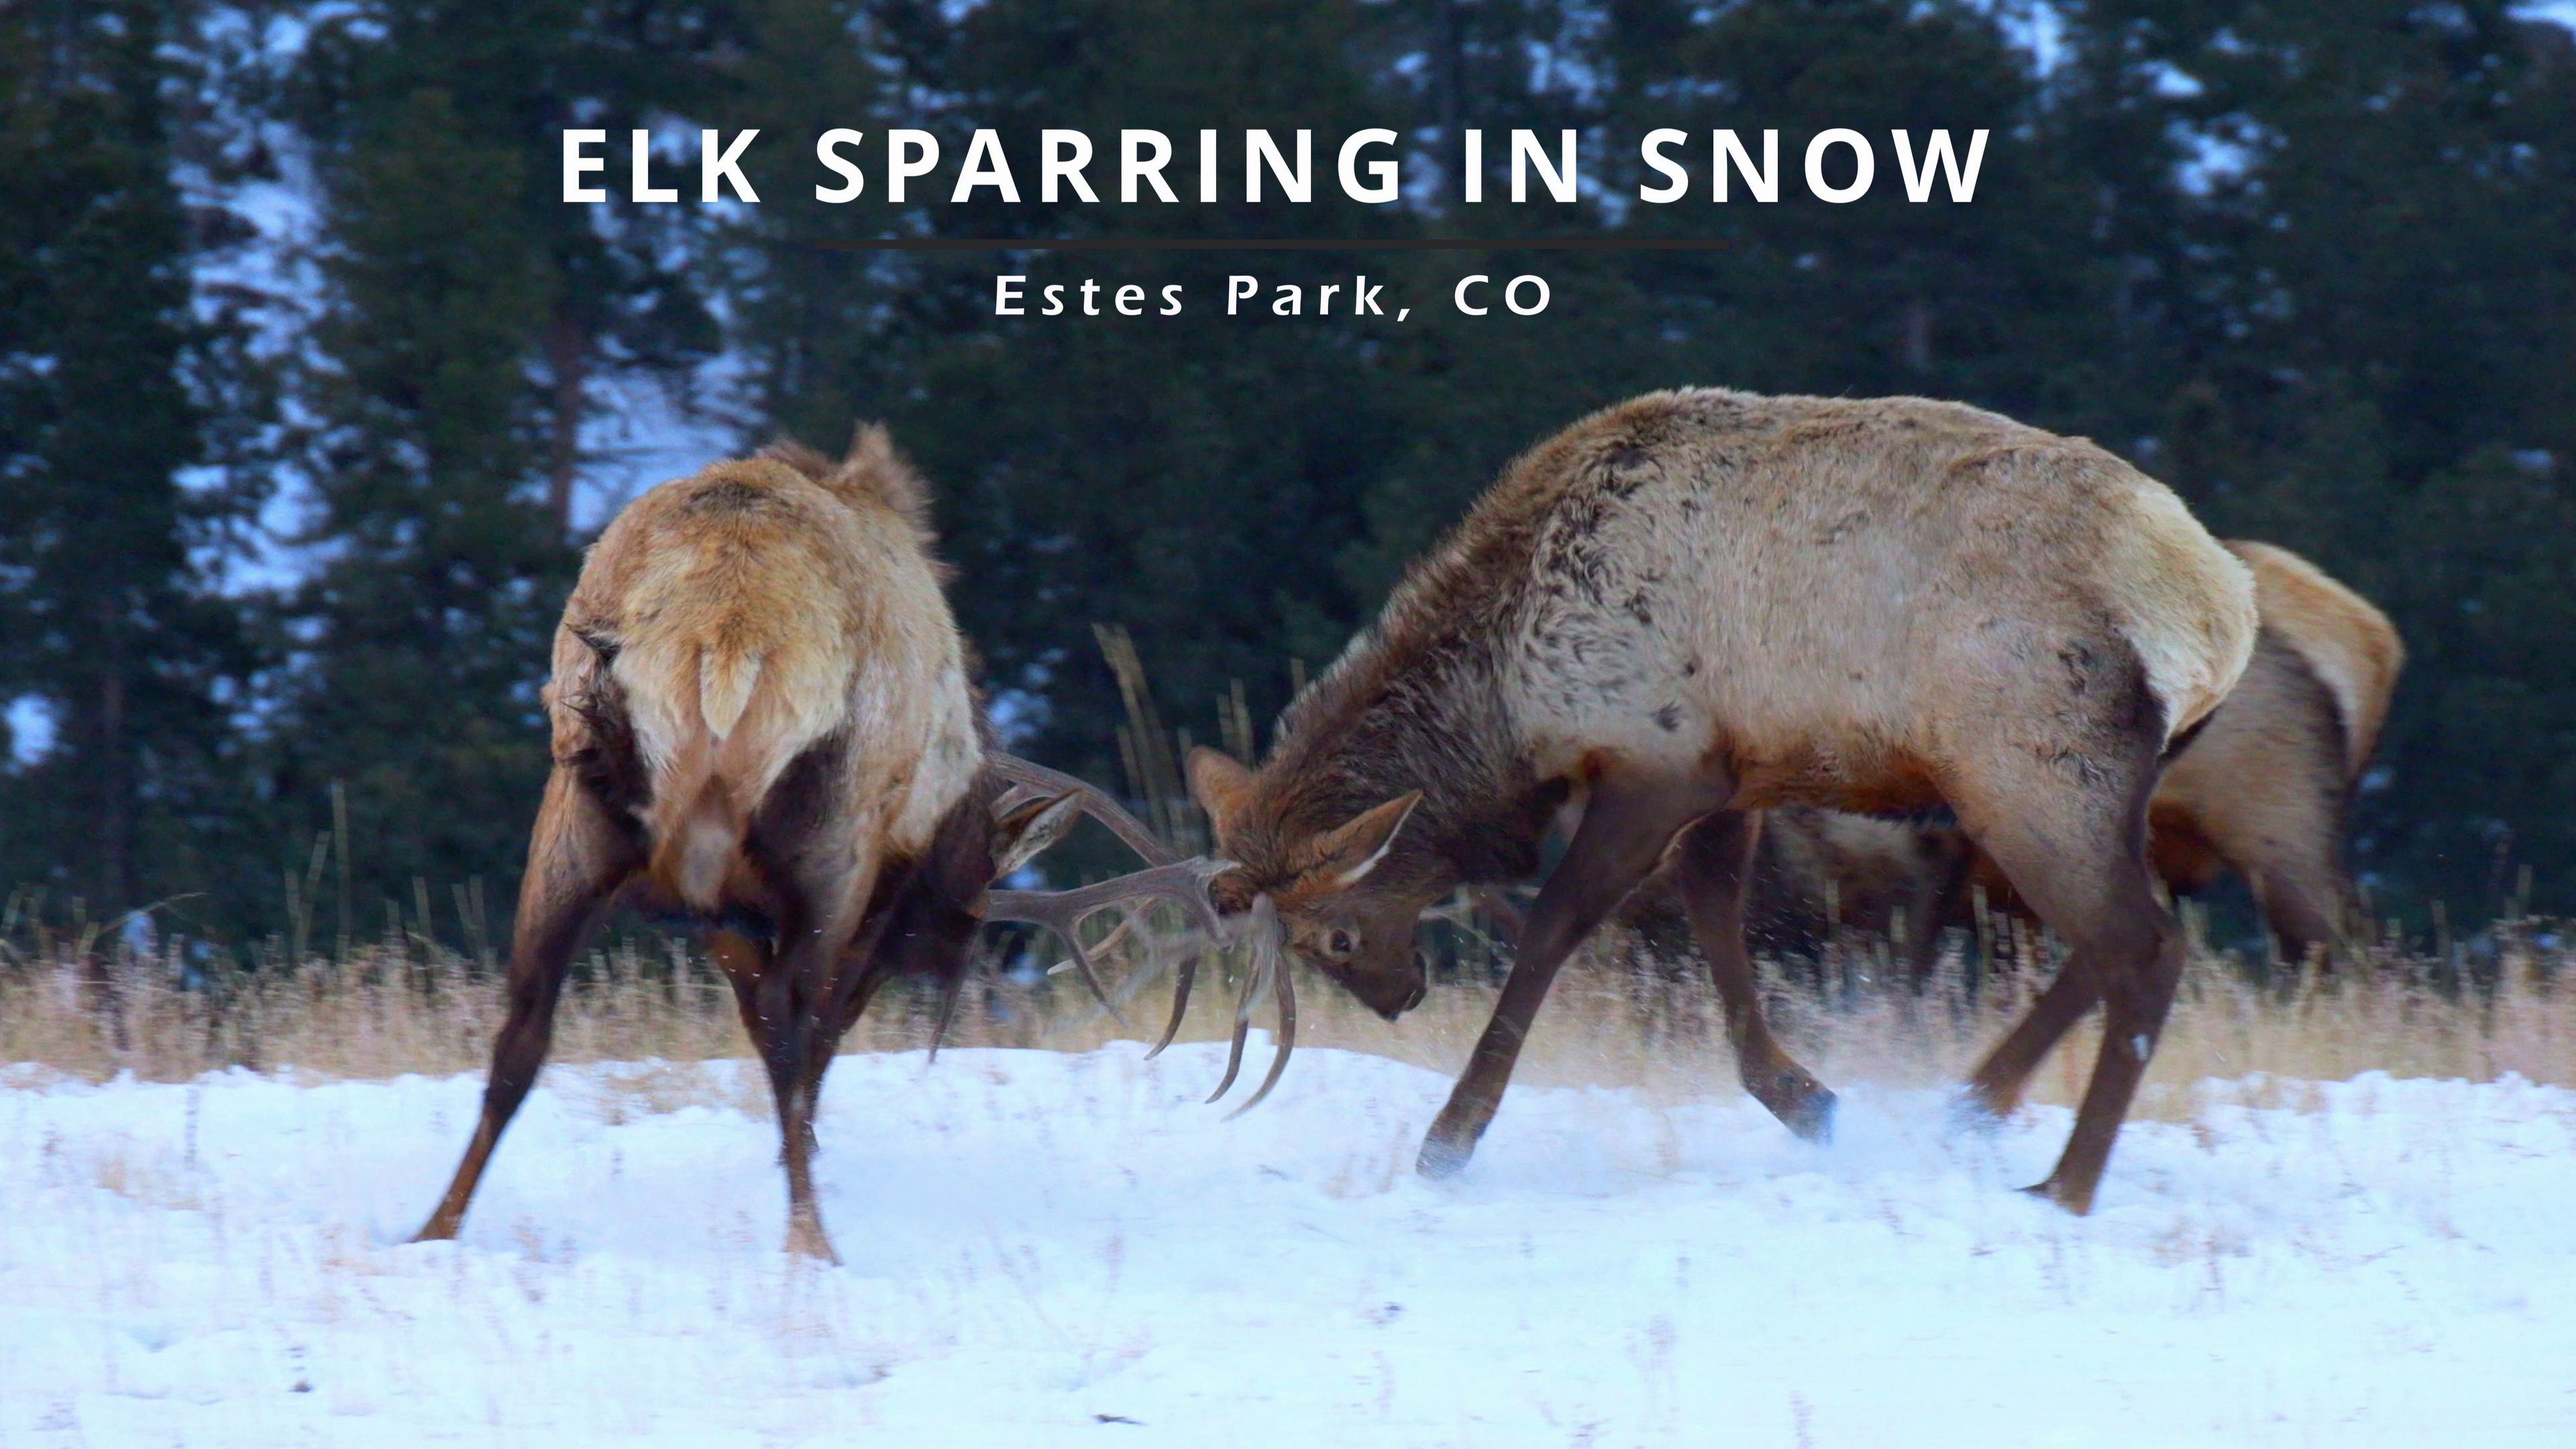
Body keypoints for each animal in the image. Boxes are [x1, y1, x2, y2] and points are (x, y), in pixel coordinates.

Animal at [411, 430, 1224, 1262]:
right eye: (934, 927)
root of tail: (726, 631)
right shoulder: (857, 893)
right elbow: (807, 1025)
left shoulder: (717, 898)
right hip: (830, 829)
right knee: (792, 1024)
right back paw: (811, 1237)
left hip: (578, 805)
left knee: (525, 1022)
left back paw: (437, 1227)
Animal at [1184, 387, 2257, 1214]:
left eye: (1335, 937)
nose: (1398, 998)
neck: (1508, 695)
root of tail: (2221, 605)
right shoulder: (1736, 773)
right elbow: (1717, 922)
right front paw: (1809, 1101)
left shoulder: (1657, 761)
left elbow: (1557, 928)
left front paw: (1447, 1142)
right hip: (2092, 787)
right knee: (2115, 945)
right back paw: (1975, 1107)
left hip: (2028, 770)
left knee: (2144, 948)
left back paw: (2061, 1187)